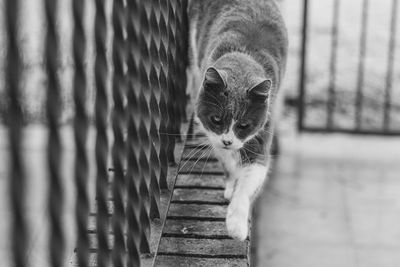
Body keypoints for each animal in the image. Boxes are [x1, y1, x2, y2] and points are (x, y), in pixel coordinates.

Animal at [188, 0, 288, 241]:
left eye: (244, 125)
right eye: (216, 119)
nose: (228, 141)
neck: (243, 57)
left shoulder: (262, 132)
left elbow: (250, 178)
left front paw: (236, 226)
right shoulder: (213, 136)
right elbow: (227, 162)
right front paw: (230, 184)